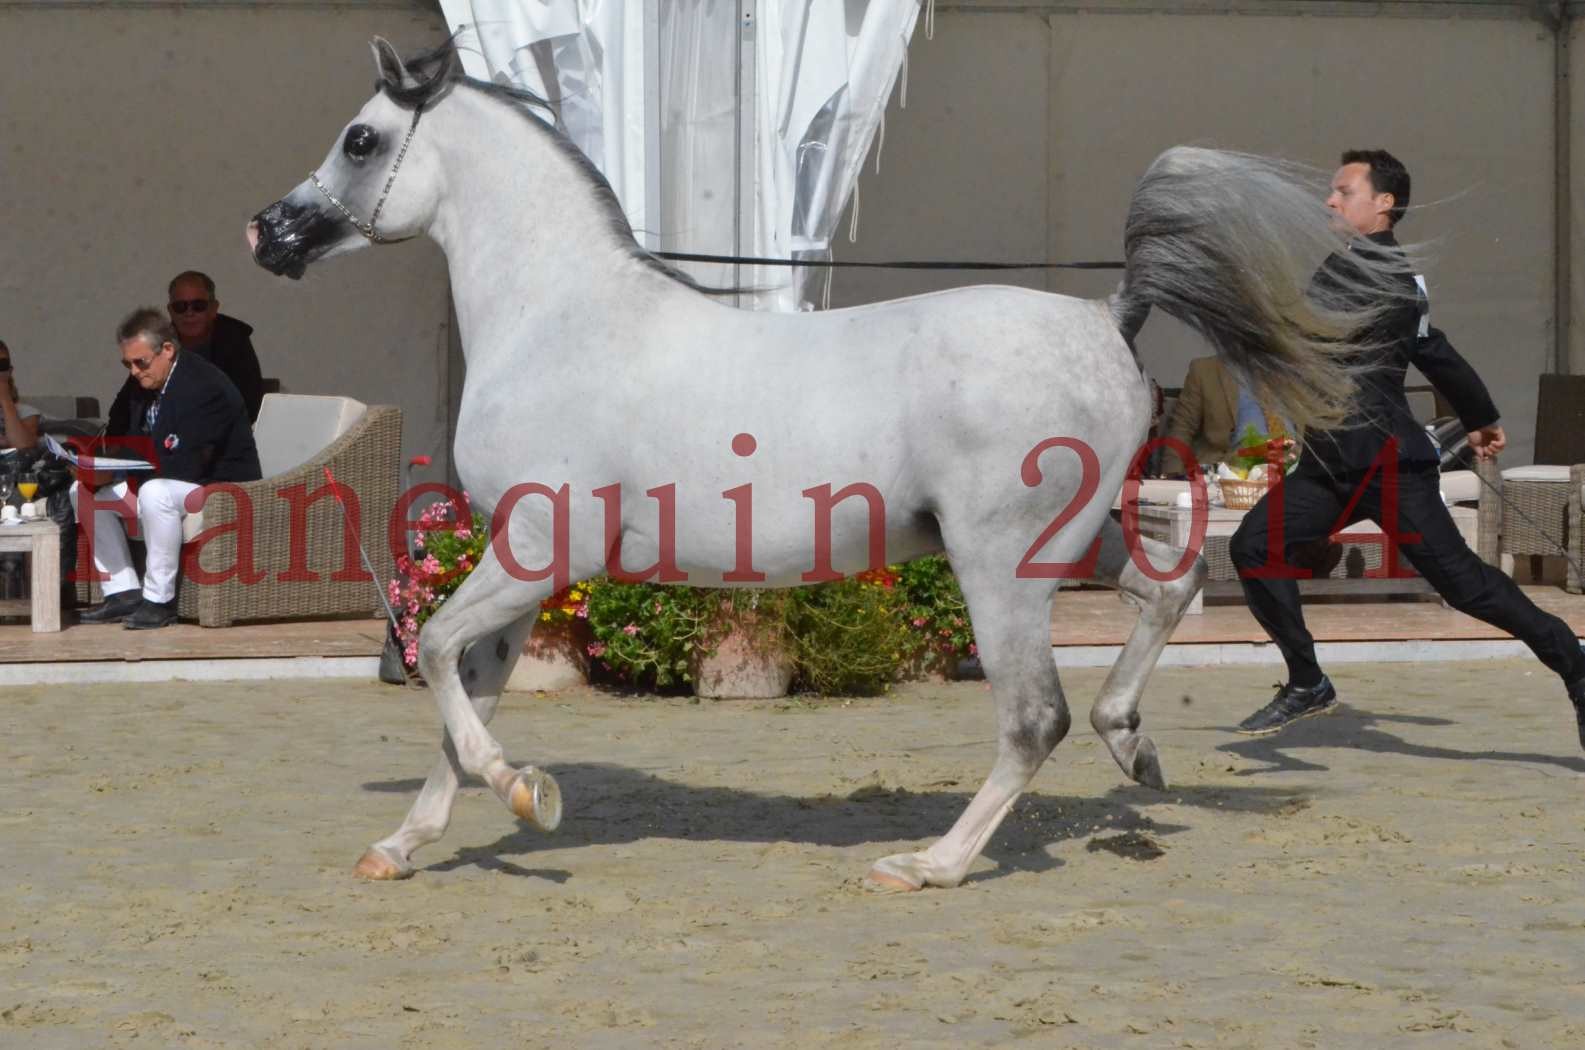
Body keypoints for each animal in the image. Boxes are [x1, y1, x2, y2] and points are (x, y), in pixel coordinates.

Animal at [253, 43, 1407, 894]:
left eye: (361, 138)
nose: (270, 231)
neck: (559, 320)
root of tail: (1104, 314)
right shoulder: (530, 568)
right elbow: (469, 691)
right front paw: (400, 846)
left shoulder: (540, 551)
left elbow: (444, 655)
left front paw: (529, 793)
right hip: (1075, 544)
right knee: (1164, 594)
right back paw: (1133, 746)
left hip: (1000, 566)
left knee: (1035, 715)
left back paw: (930, 864)